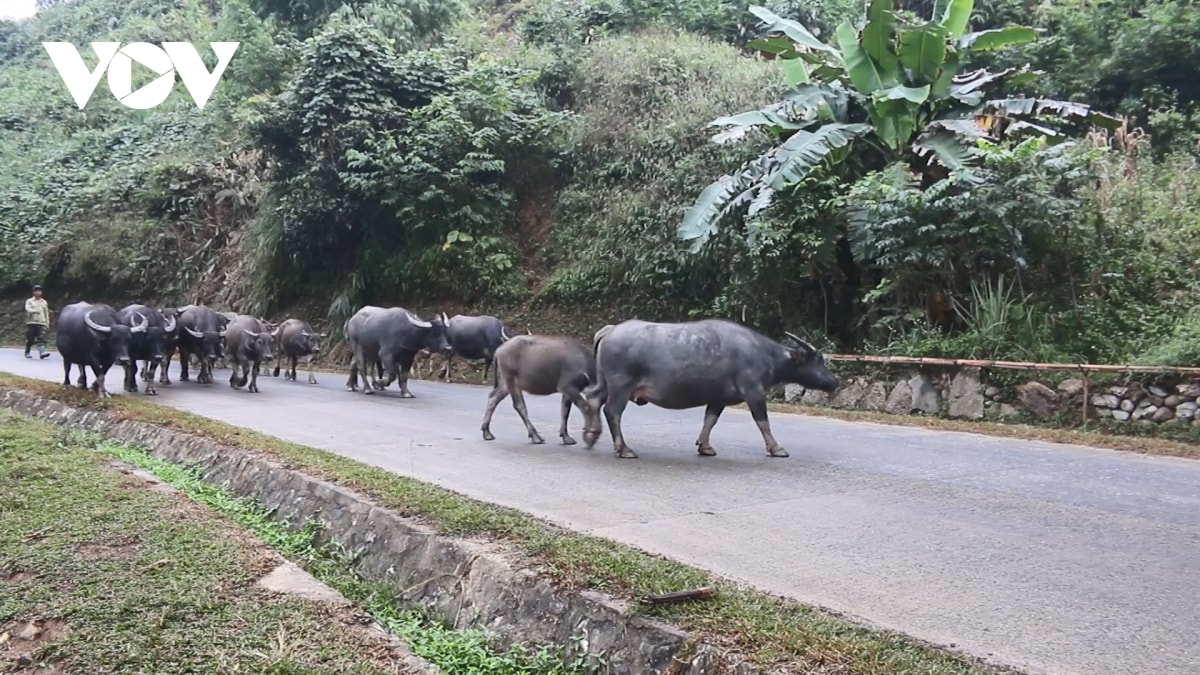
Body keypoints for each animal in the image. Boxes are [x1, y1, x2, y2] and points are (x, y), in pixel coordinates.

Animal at [580, 319, 835, 456]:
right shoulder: (753, 392)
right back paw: (624, 449)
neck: (763, 354)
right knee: (612, 411)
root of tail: (611, 330)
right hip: (620, 386)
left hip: (606, 383)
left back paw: (591, 435)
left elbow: (710, 419)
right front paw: (776, 448)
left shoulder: (718, 398)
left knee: (593, 399)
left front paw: (704, 446)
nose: (834, 381)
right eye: (818, 361)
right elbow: (762, 421)